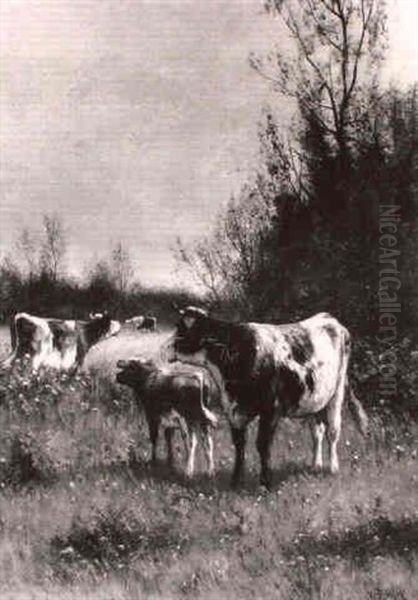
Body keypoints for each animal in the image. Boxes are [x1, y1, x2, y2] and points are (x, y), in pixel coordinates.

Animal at [168, 308, 368, 490]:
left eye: (182, 330)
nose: (166, 348)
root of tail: (329, 318)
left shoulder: (271, 410)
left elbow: (263, 445)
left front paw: (266, 483)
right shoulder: (234, 411)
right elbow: (239, 446)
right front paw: (236, 482)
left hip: (337, 392)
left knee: (332, 432)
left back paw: (332, 468)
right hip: (314, 399)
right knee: (317, 432)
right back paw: (315, 465)